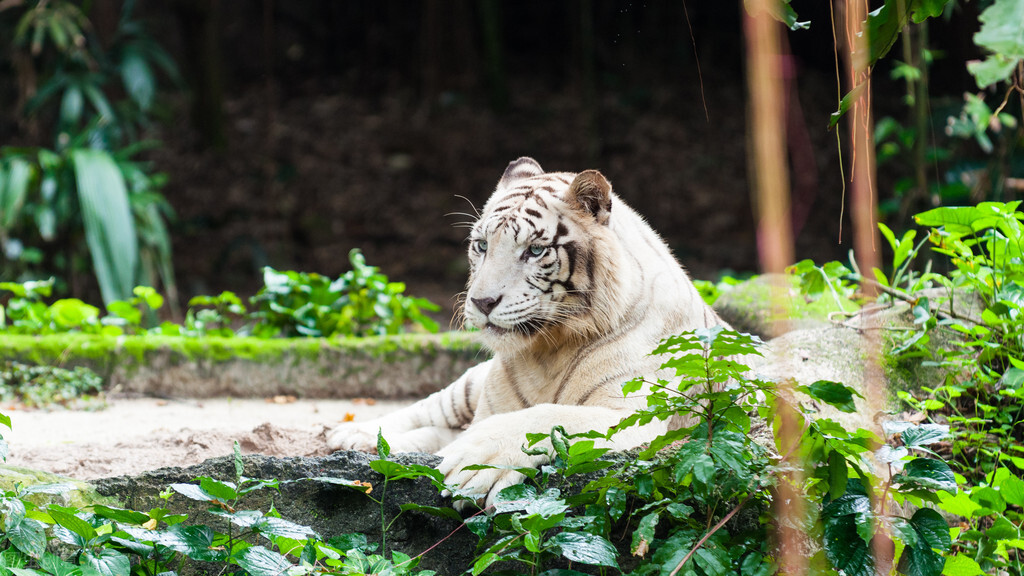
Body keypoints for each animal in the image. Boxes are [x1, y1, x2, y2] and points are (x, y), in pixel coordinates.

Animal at [327, 155, 729, 502]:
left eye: (535, 251)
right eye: (481, 245)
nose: (482, 302)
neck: (548, 350)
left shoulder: (630, 413)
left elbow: (547, 416)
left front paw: (474, 462)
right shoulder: (489, 402)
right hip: (470, 384)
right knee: (433, 409)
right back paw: (354, 435)